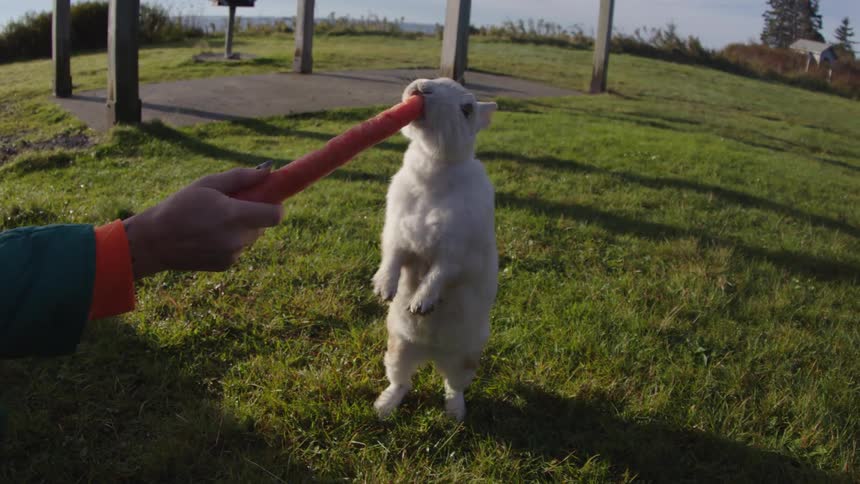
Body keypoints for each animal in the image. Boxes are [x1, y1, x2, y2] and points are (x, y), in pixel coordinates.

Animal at [372, 78, 498, 421]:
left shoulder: (456, 253)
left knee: (453, 385)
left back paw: (455, 414)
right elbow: (392, 259)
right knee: (401, 381)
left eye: (467, 109)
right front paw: (384, 290)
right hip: (398, 349)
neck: (434, 166)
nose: (421, 87)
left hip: (464, 358)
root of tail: (430, 353)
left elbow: (438, 275)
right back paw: (383, 408)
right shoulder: (397, 236)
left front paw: (420, 304)